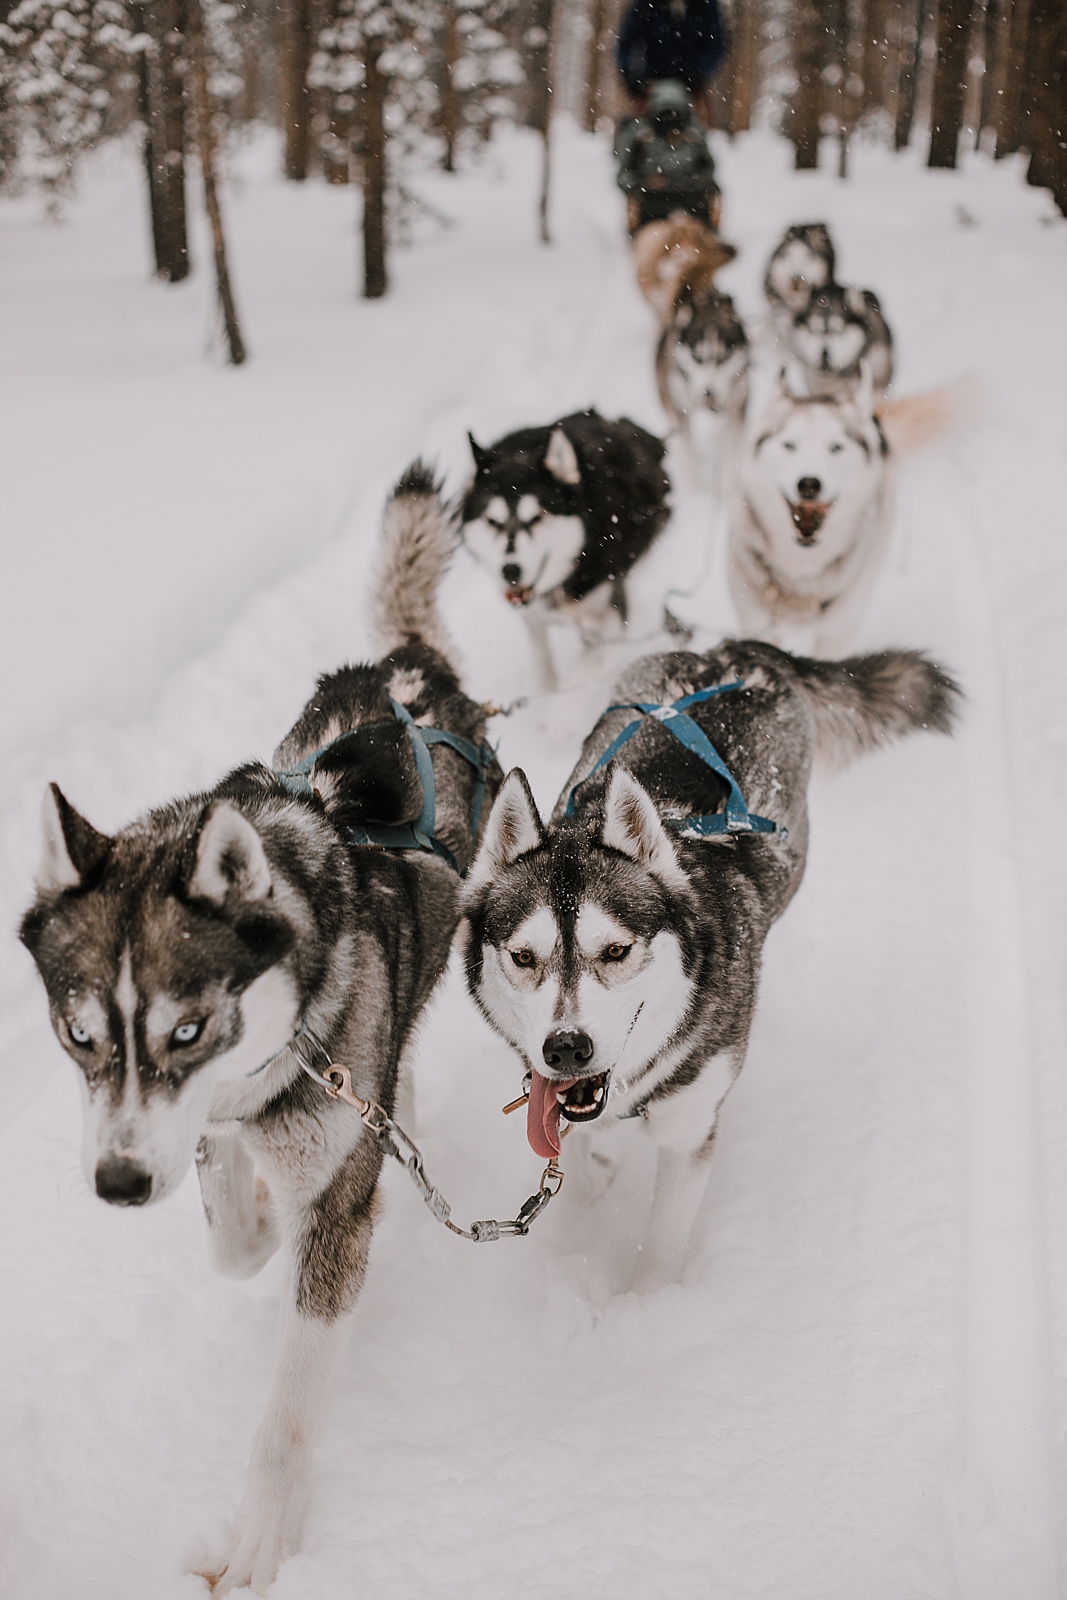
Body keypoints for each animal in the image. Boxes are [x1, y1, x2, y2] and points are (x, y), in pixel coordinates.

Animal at [17, 467, 502, 1593]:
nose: (116, 1186)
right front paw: (256, 1213)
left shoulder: (328, 1191)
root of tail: (401, 669)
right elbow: (235, 1238)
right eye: (78, 1035)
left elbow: (286, 1408)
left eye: (189, 1028)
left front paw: (258, 1547)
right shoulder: (208, 1130)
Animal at [460, 633, 959, 1286]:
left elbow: (662, 1246)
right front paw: (591, 1186)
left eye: (615, 950)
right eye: (523, 956)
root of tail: (736, 651)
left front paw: (647, 1305)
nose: (566, 1048)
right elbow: (579, 1153)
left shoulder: (689, 1129)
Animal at [463, 409, 671, 691]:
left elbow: (577, 679)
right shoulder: (533, 617)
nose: (510, 570)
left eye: (536, 518)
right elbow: (544, 666)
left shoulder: (610, 617)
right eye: (493, 522)